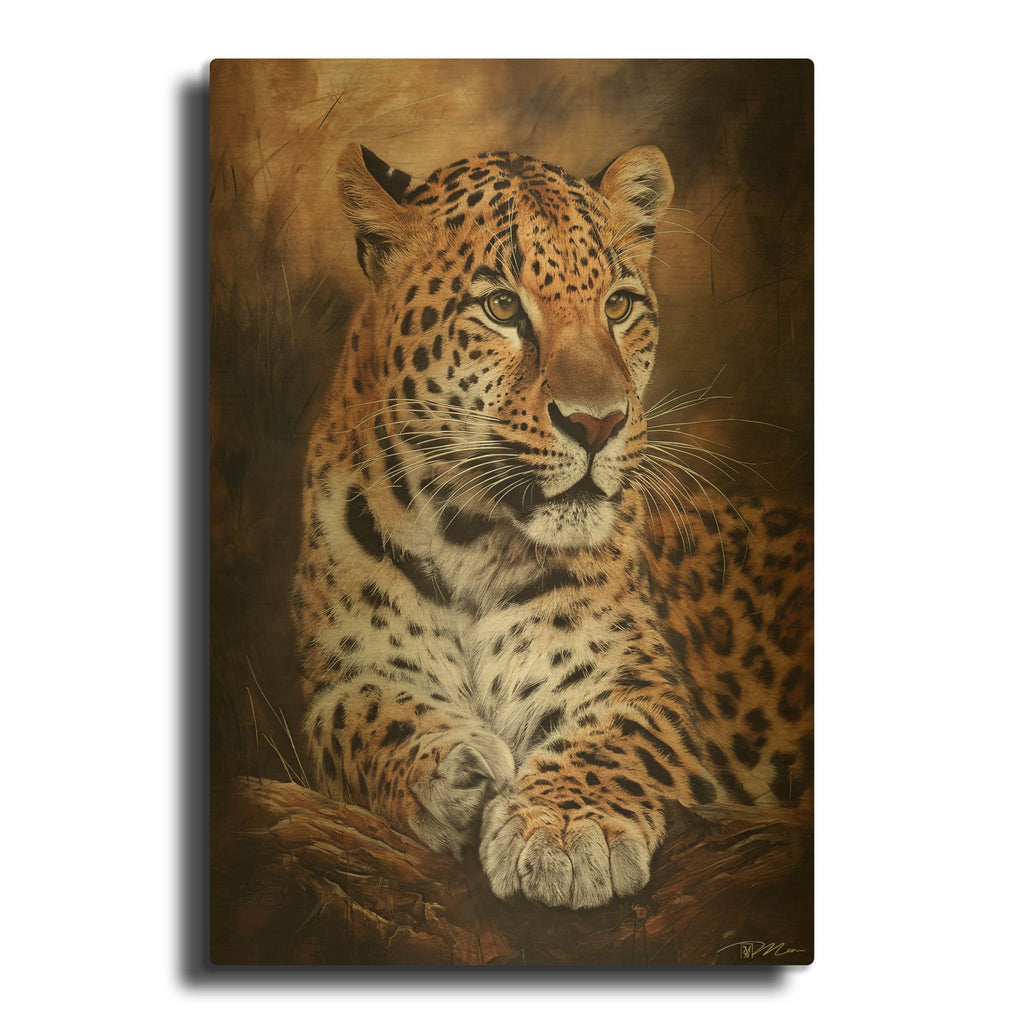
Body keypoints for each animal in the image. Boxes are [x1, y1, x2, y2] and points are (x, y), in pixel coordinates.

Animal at [291, 142, 812, 911]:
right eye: (502, 306)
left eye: (618, 305)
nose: (598, 424)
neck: (466, 535)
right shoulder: (342, 676)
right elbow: (361, 716)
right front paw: (456, 771)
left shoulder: (643, 688)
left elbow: (615, 741)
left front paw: (566, 831)